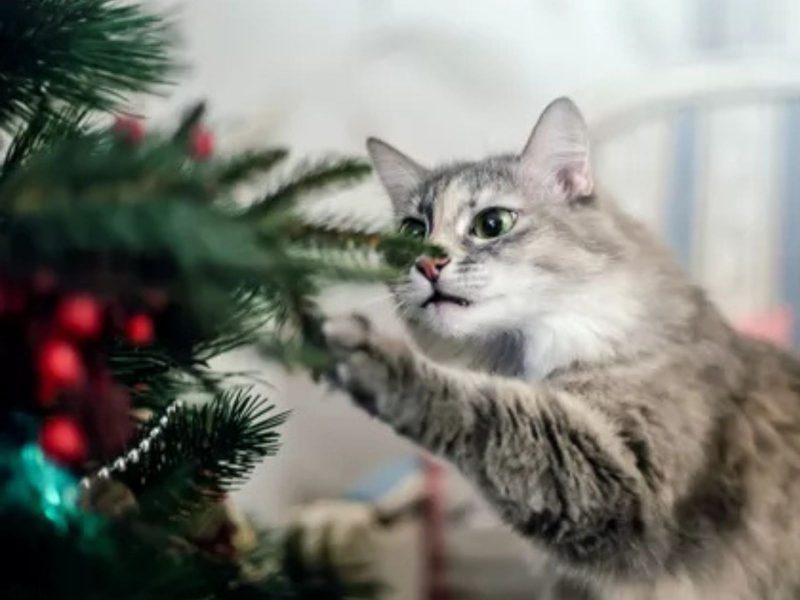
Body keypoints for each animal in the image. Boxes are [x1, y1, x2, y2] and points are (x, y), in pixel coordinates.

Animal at [322, 96, 800, 596]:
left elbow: (483, 408)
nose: (427, 263)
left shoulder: (628, 479)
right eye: (413, 231)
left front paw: (363, 351)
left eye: (491, 224)